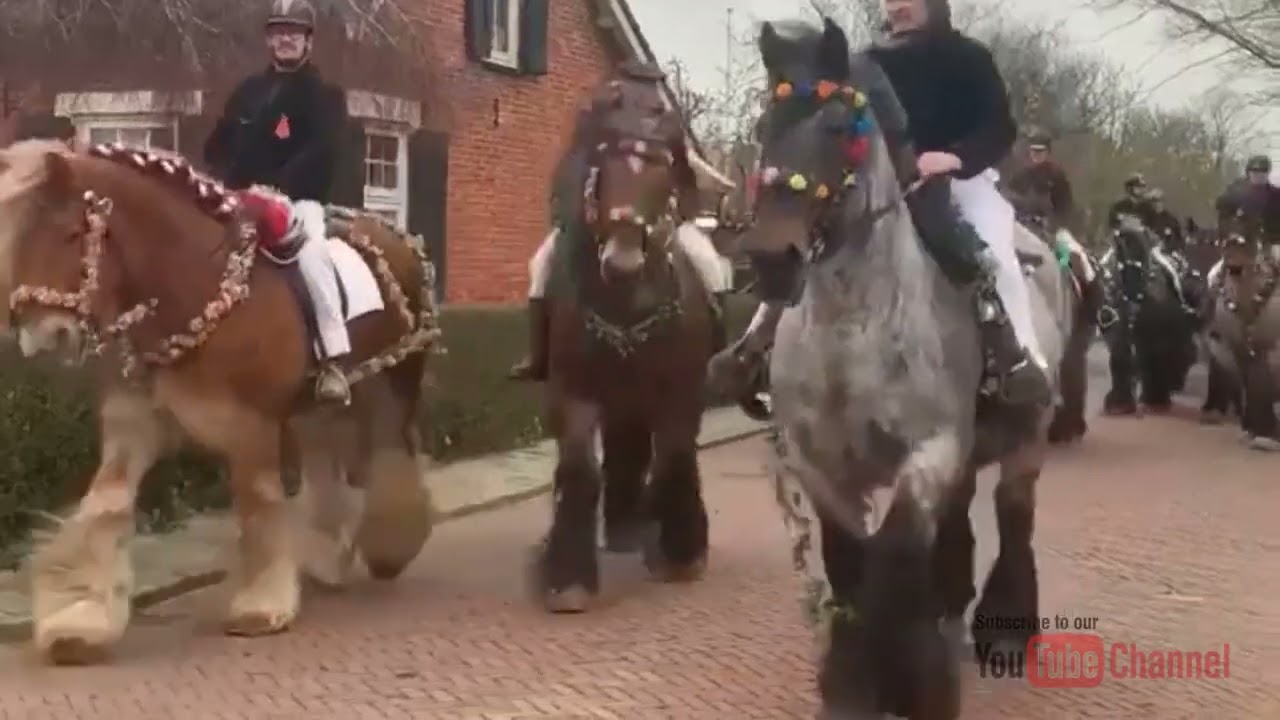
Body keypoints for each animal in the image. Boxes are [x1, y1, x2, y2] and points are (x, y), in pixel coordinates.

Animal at [0, 139, 440, 661]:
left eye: (71, 234)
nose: (43, 333)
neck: (199, 288)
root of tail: (397, 236)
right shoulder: (135, 423)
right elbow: (105, 505)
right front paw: (79, 620)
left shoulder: (251, 424)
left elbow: (257, 504)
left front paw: (260, 607)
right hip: (318, 407)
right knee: (323, 466)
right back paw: (328, 560)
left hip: (398, 379)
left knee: (396, 453)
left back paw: (391, 547)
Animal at [524, 65, 716, 609]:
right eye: (603, 162)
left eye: (663, 166)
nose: (623, 259)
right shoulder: (574, 391)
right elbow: (579, 468)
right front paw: (566, 577)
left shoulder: (681, 391)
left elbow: (674, 459)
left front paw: (680, 551)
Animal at [747, 18, 1075, 717]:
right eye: (763, 125)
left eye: (839, 128)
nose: (771, 259)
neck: (851, 332)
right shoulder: (821, 466)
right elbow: (850, 561)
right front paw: (852, 682)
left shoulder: (929, 450)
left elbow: (893, 555)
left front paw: (914, 682)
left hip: (1028, 437)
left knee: (1014, 515)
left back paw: (1004, 631)